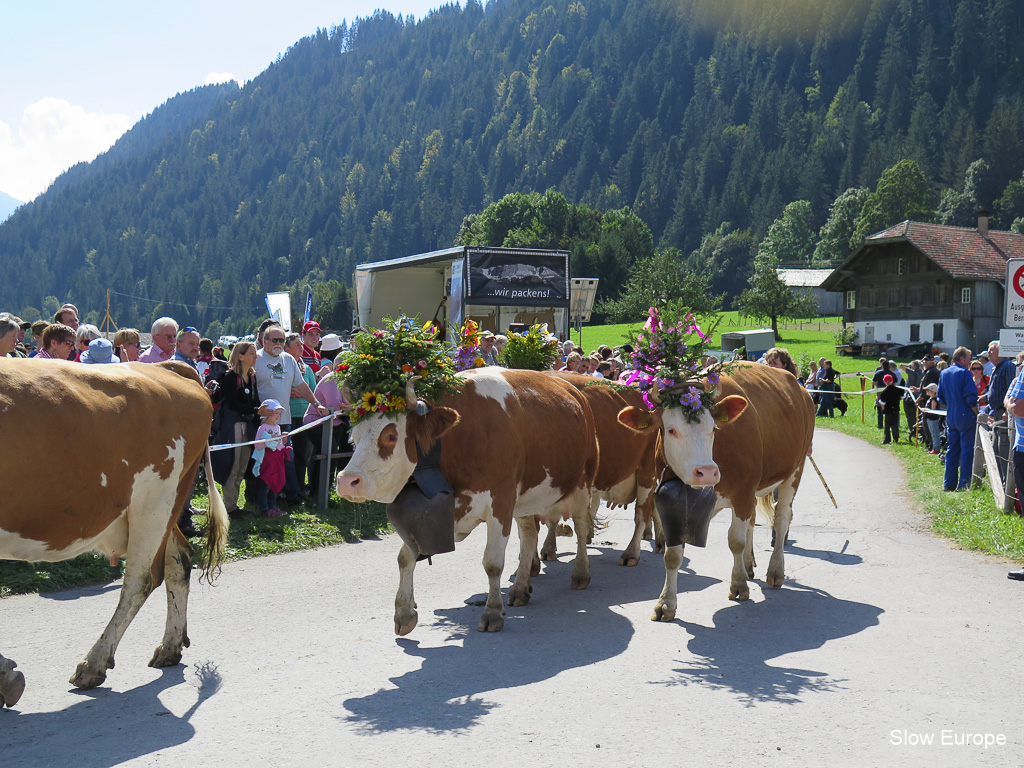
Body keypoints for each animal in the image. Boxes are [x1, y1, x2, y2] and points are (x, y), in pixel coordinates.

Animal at [0, 358, 228, 708]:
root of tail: (165, 367)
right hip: (160, 509)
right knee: (179, 561)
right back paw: (170, 648)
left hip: (153, 503)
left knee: (141, 580)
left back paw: (93, 664)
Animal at [333, 370, 598, 634]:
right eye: (353, 436)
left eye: (390, 435)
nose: (346, 481)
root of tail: (573, 389)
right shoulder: (449, 511)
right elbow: (405, 557)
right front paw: (404, 613)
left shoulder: (500, 502)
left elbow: (493, 563)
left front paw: (492, 612)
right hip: (526, 498)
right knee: (529, 535)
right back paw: (521, 588)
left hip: (583, 484)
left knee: (581, 527)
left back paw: (581, 574)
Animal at [614, 364, 815, 622]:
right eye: (671, 430)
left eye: (713, 428)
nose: (707, 472)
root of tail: (798, 386)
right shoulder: (669, 504)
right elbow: (672, 555)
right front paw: (666, 602)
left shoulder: (743, 493)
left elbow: (735, 541)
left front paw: (738, 585)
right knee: (753, 521)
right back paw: (748, 565)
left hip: (795, 470)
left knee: (781, 519)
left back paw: (775, 570)